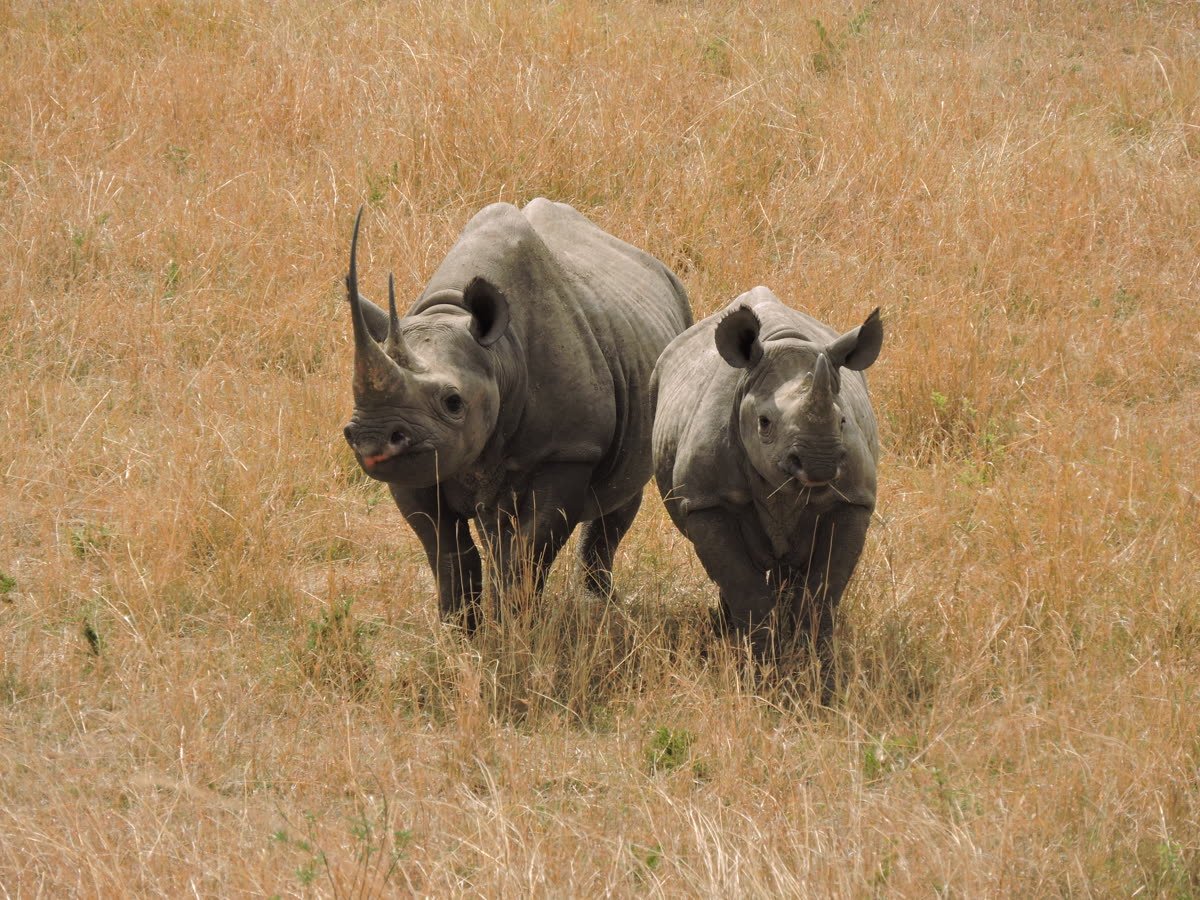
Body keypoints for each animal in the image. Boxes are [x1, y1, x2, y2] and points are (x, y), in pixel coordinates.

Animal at [341, 199, 692, 628]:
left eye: (453, 402)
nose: (372, 439)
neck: (496, 356)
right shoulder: (416, 469)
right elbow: (446, 550)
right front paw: (460, 631)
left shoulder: (569, 450)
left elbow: (530, 548)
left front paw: (516, 629)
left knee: (622, 491)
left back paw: (600, 602)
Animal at [651, 286, 883, 683]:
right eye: (764, 423)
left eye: (842, 421)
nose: (819, 463)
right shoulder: (706, 500)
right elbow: (744, 587)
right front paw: (761, 675)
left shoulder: (852, 499)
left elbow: (823, 591)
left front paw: (817, 675)